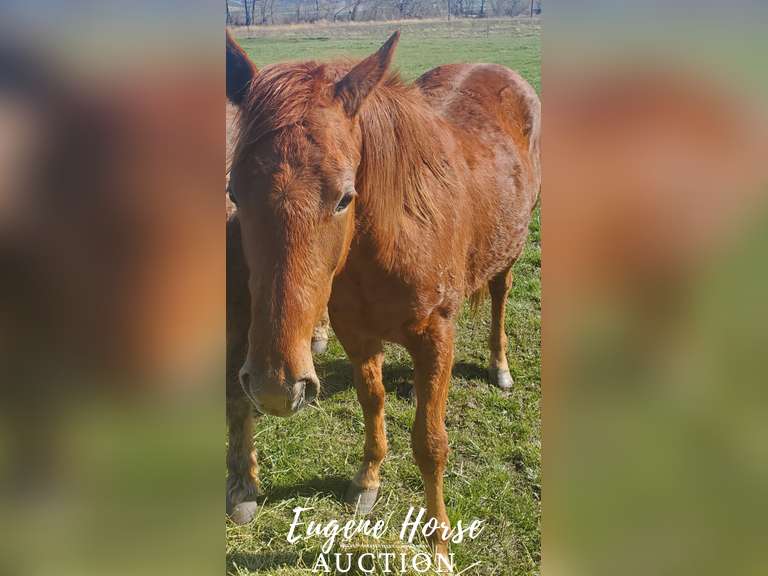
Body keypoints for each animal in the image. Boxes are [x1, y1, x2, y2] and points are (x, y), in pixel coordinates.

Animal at [225, 30, 541, 562]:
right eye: (233, 193)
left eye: (344, 198)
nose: (274, 387)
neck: (393, 237)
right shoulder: (357, 334)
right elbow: (371, 401)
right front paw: (367, 480)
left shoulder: (437, 335)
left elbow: (431, 443)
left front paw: (439, 545)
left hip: (509, 250)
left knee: (500, 294)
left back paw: (499, 366)